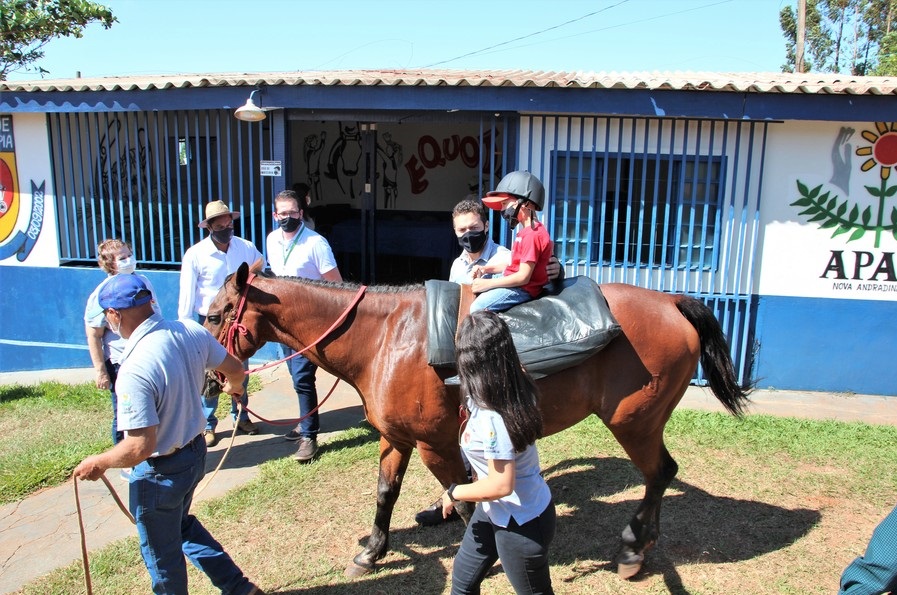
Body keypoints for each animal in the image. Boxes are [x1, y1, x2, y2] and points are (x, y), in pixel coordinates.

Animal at [205, 264, 748, 580]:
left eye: (213, 315)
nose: (211, 381)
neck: (385, 337)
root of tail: (671, 301)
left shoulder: (436, 446)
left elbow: (468, 503)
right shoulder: (397, 439)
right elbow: (385, 495)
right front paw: (373, 551)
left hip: (634, 422)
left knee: (659, 473)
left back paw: (634, 548)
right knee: (662, 474)